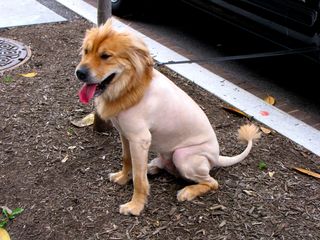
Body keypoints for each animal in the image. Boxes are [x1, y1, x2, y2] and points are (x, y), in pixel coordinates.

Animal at [75, 19, 260, 216]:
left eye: (105, 56)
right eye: (86, 51)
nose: (79, 73)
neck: (130, 87)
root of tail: (216, 156)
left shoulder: (140, 140)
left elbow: (139, 179)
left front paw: (136, 206)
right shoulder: (125, 135)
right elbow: (127, 160)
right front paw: (123, 177)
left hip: (183, 156)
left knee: (212, 182)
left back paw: (187, 191)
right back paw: (152, 167)